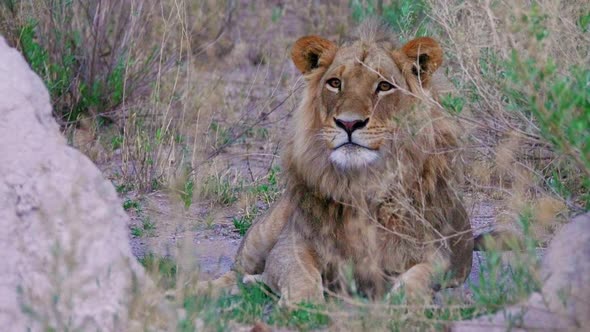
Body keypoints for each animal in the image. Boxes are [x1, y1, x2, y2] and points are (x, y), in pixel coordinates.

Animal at [202, 22, 476, 304]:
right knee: (235, 273)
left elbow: (421, 275)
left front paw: (402, 302)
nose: (349, 123)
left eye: (384, 86)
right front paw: (305, 304)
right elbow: (299, 272)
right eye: (335, 83)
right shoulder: (291, 244)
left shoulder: (439, 255)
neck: (360, 183)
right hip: (262, 235)